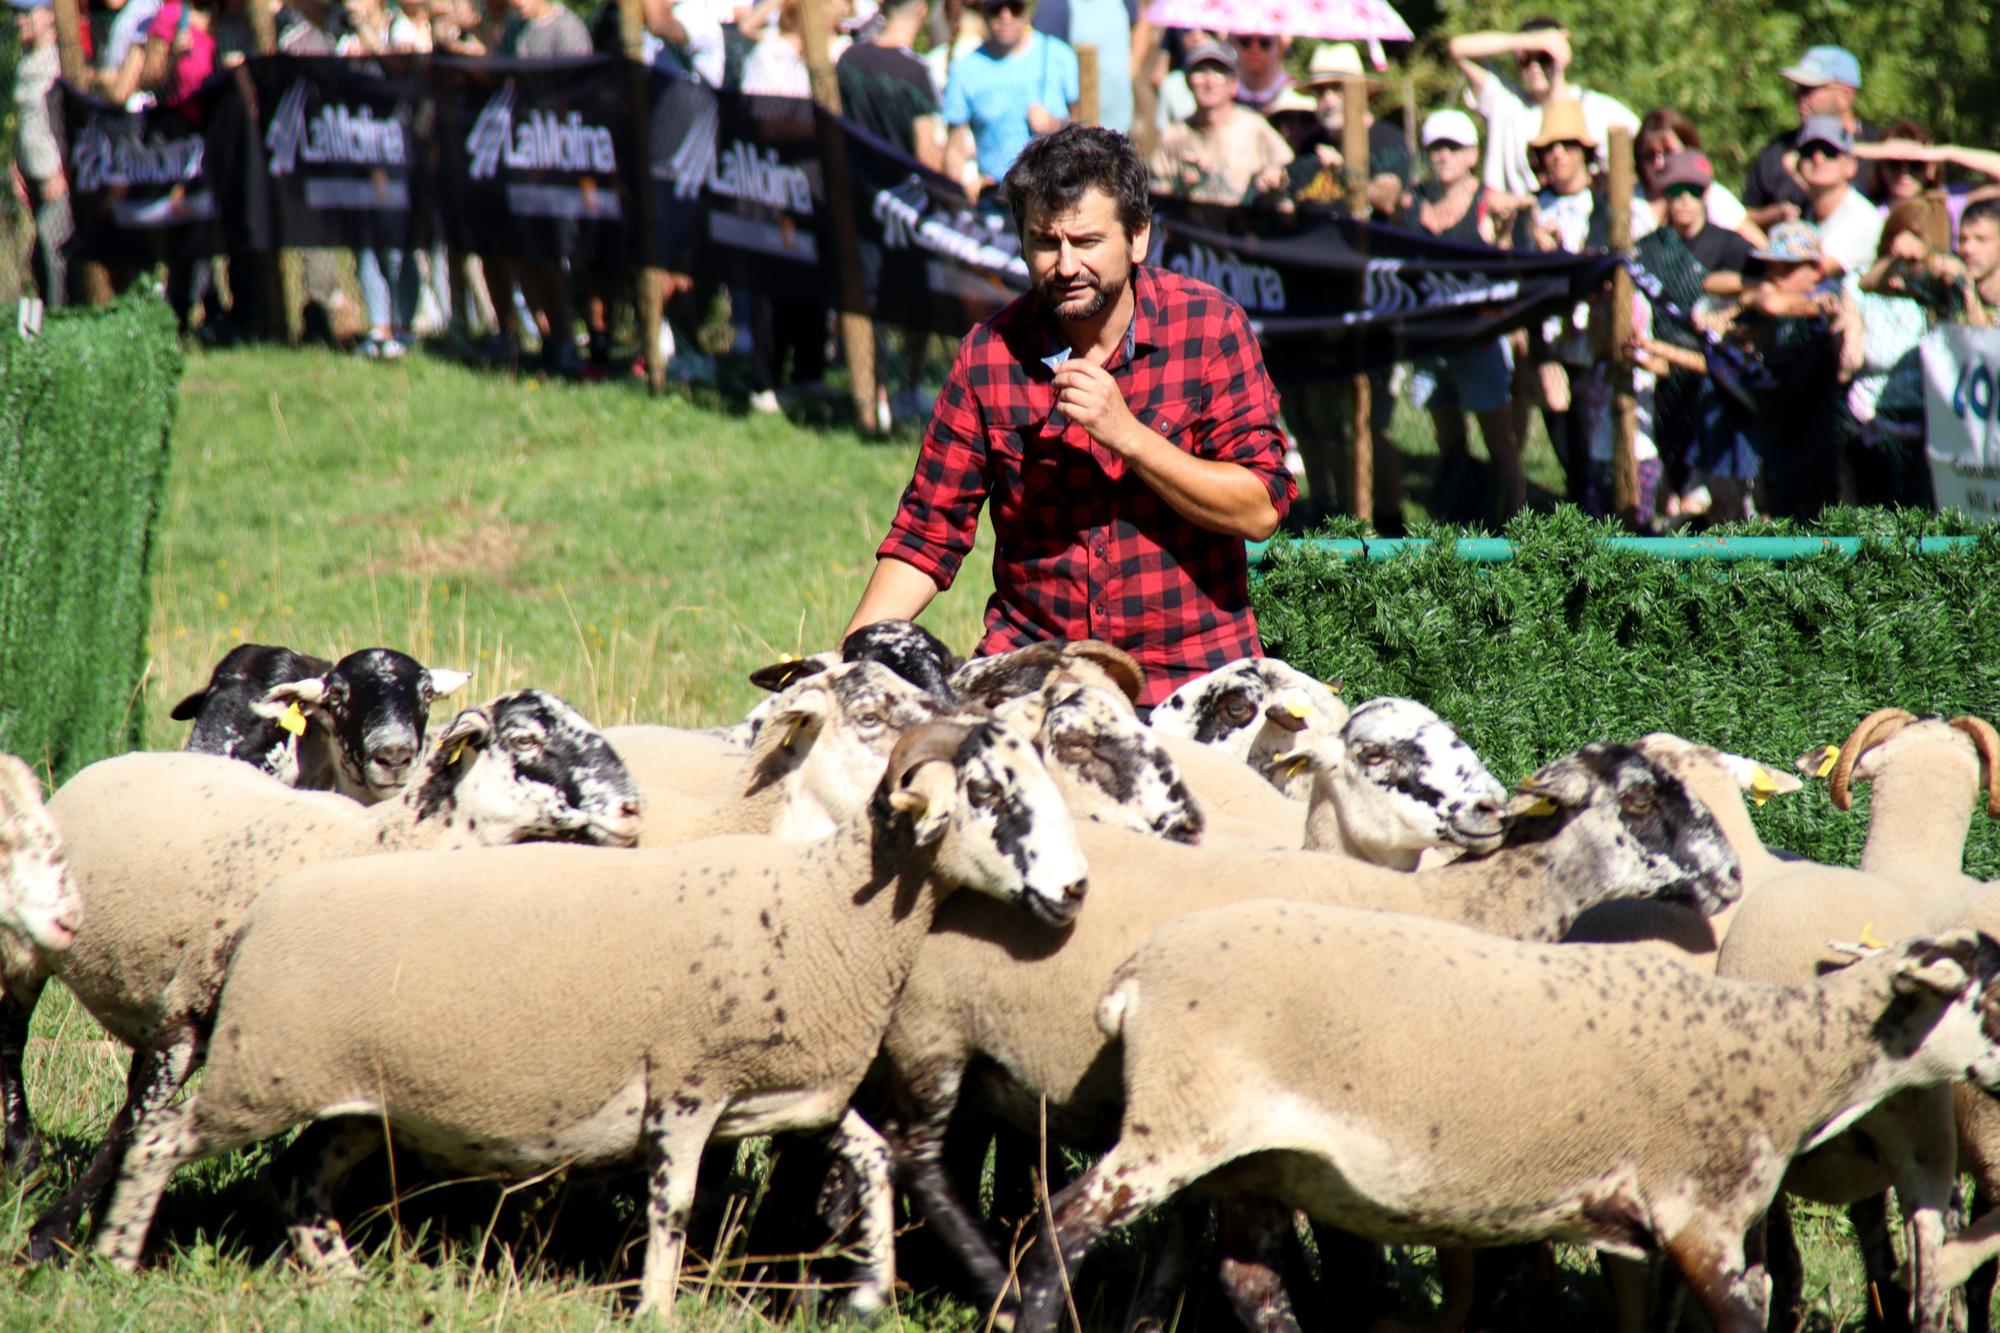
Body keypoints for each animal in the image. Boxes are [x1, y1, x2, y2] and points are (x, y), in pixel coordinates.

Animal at [13, 688, 640, 1264]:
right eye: (526, 741)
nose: (634, 808)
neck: (379, 844)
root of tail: (125, 755)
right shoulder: (187, 1020)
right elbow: (131, 1127)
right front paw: (53, 1235)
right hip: (29, 948)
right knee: (12, 1039)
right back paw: (22, 1153)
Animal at [86, 716, 1096, 1320]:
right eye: (990, 796)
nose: (1076, 891)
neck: (823, 906)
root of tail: (268, 905)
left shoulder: (788, 1092)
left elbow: (874, 1156)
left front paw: (870, 1290)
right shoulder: (685, 1087)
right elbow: (674, 1205)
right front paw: (655, 1308)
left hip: (355, 1097)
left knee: (299, 1177)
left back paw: (346, 1280)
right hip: (260, 1069)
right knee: (162, 1136)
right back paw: (112, 1259)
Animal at [876, 736, 1736, 1304]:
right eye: (1638, 798)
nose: (1729, 874)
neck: (1457, 904)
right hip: (931, 1032)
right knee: (917, 1160)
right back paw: (983, 1278)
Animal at [1024, 908, 2000, 1328]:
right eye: (1989, 997)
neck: (1788, 1055)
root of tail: (1136, 974)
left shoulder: (1663, 1232)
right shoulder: (1701, 1215)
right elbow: (1740, 1319)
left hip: (1255, 1157)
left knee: (1249, 1281)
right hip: (1177, 1123)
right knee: (1055, 1230)